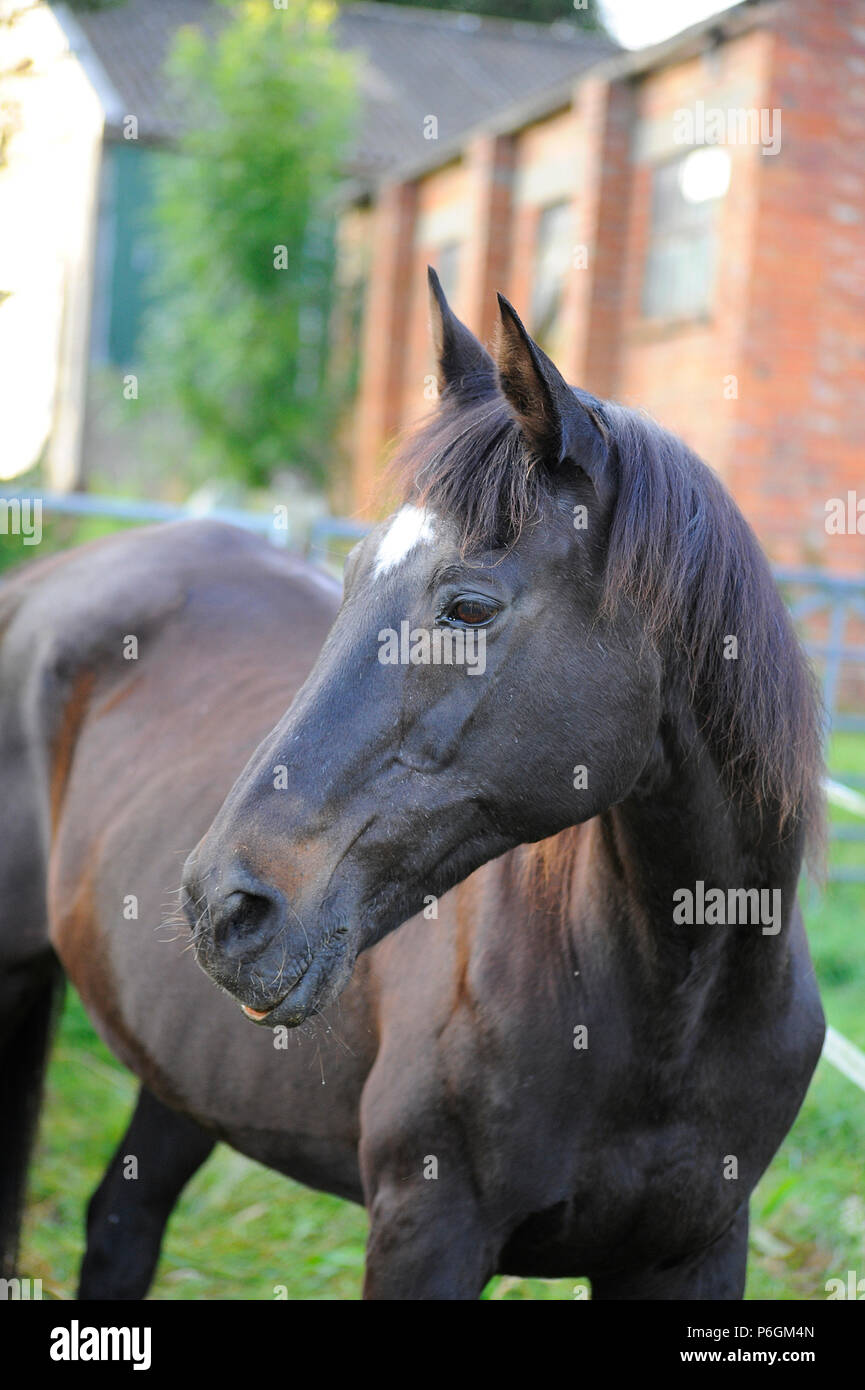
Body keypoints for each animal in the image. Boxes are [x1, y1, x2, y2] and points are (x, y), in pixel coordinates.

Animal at [0, 270, 825, 1300]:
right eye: (353, 576)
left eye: (467, 606)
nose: (223, 906)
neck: (673, 1009)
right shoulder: (427, 1231)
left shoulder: (695, 1250)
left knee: (122, 1221)